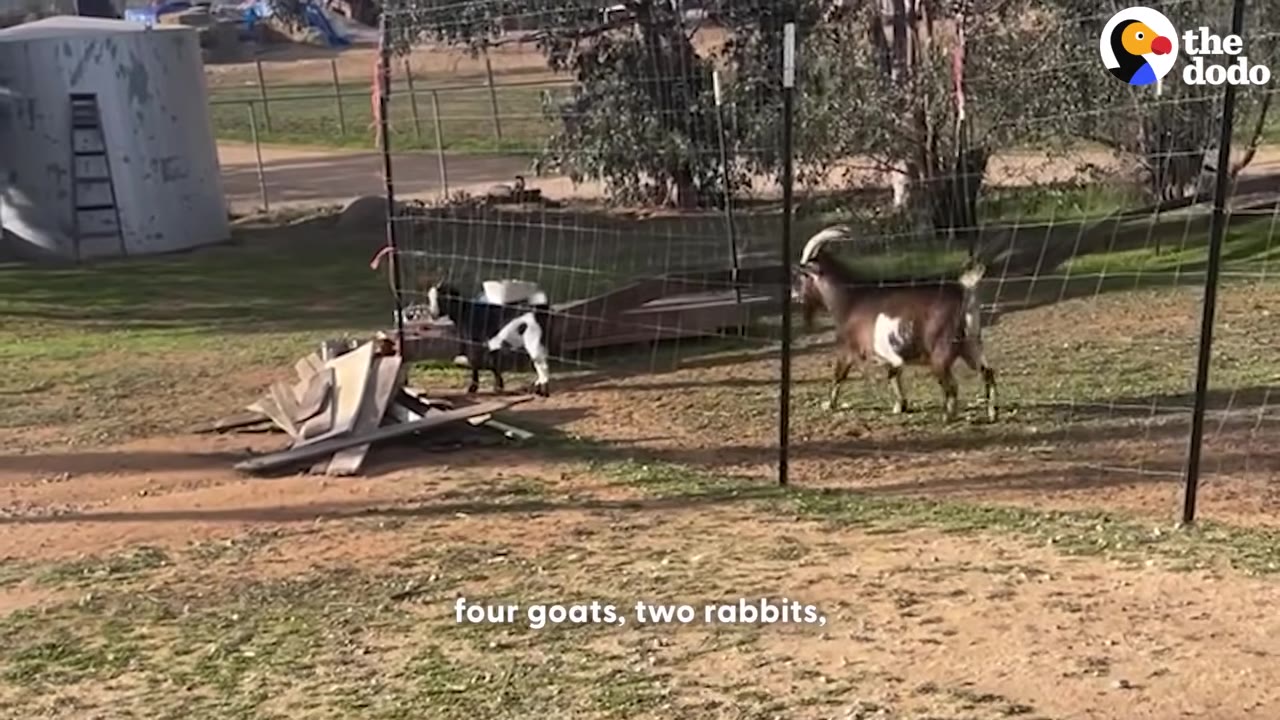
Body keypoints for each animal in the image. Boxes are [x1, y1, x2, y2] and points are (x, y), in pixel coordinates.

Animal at [422, 281, 553, 398]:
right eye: (429, 298)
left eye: (443, 297)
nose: (433, 315)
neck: (467, 313)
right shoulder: (488, 343)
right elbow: (492, 363)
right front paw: (498, 386)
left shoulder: (475, 343)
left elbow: (477, 362)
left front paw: (474, 387)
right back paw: (538, 388)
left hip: (534, 341)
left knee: (542, 365)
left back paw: (543, 391)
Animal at [793, 226, 997, 423]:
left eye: (803, 276)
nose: (794, 295)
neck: (850, 300)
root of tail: (965, 291)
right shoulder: (891, 356)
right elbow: (893, 375)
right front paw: (900, 406)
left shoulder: (846, 349)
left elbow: (839, 376)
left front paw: (829, 405)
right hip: (971, 345)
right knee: (987, 372)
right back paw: (992, 413)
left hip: (941, 352)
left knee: (952, 384)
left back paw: (947, 416)